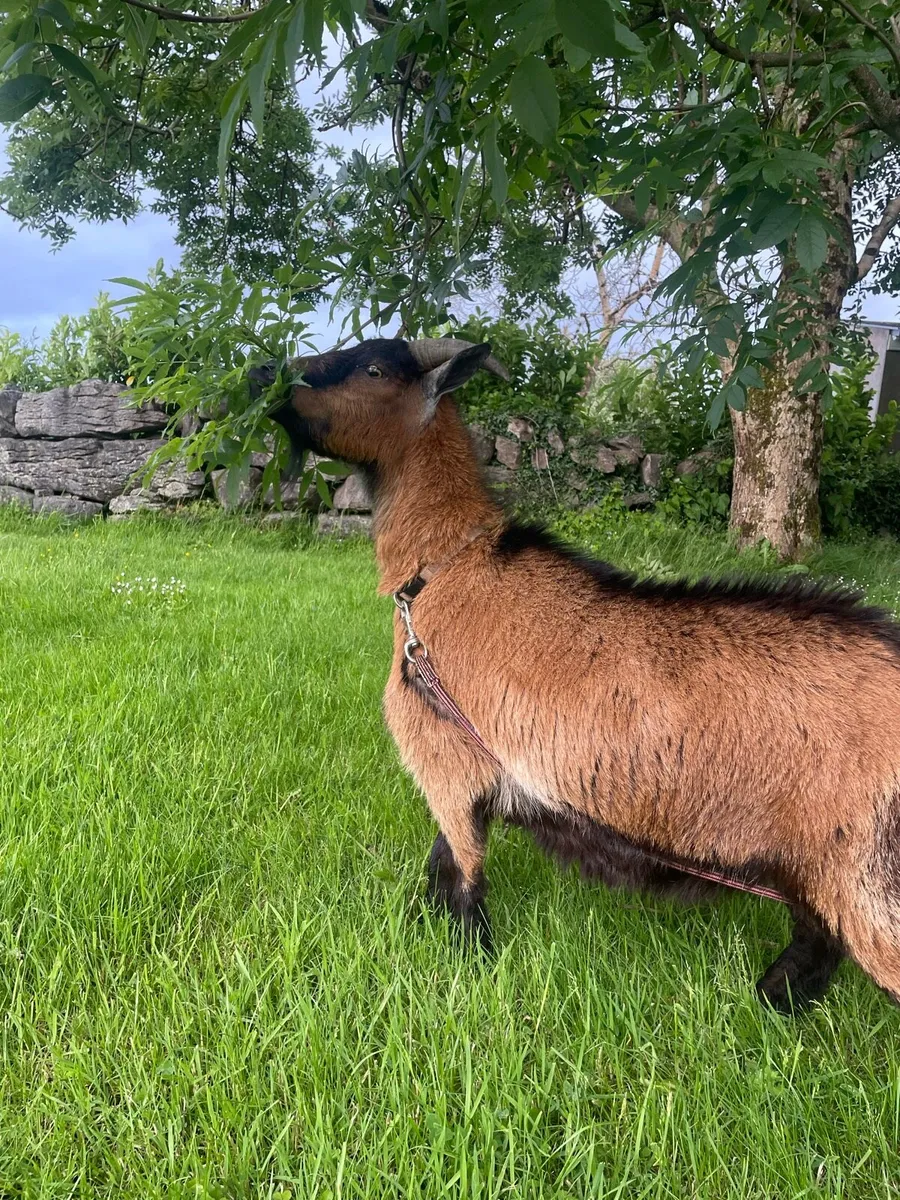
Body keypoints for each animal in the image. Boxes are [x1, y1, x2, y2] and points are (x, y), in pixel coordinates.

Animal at [251, 336, 900, 1014]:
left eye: (374, 368)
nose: (263, 371)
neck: (446, 569)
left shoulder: (448, 760)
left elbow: (462, 880)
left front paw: (470, 966)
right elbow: (441, 868)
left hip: (864, 873)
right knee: (816, 936)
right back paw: (774, 1003)